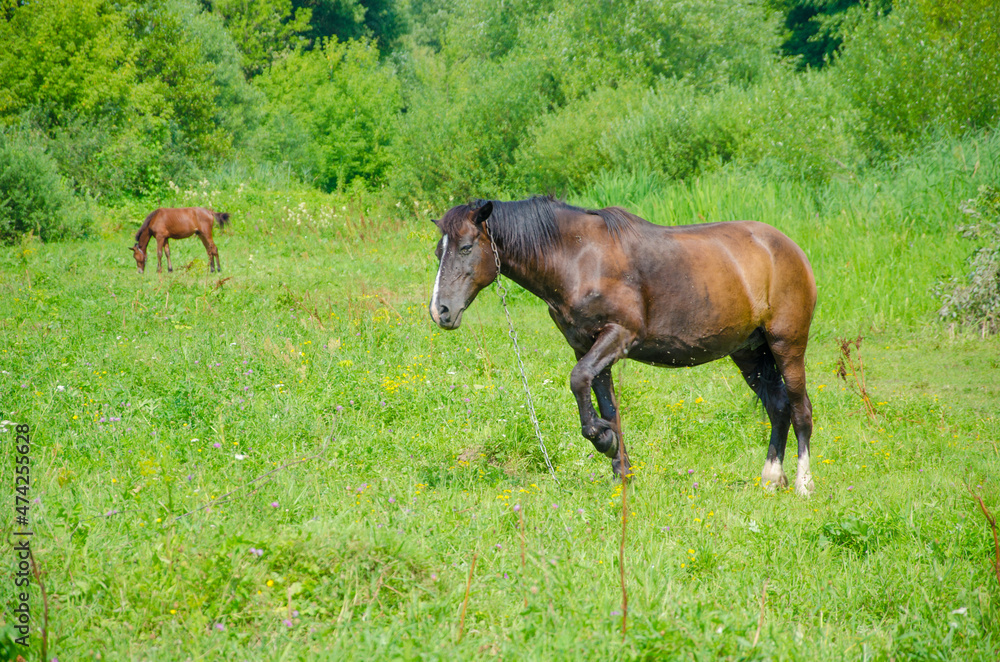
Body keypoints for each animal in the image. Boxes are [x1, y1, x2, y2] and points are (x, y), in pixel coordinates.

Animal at [426, 196, 816, 492]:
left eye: (466, 248)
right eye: (437, 252)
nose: (440, 311)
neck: (578, 258)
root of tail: (790, 249)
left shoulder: (619, 335)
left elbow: (577, 380)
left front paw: (602, 439)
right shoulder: (587, 346)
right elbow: (605, 403)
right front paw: (620, 468)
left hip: (787, 345)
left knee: (800, 410)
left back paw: (803, 483)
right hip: (749, 352)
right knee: (778, 406)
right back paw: (771, 477)